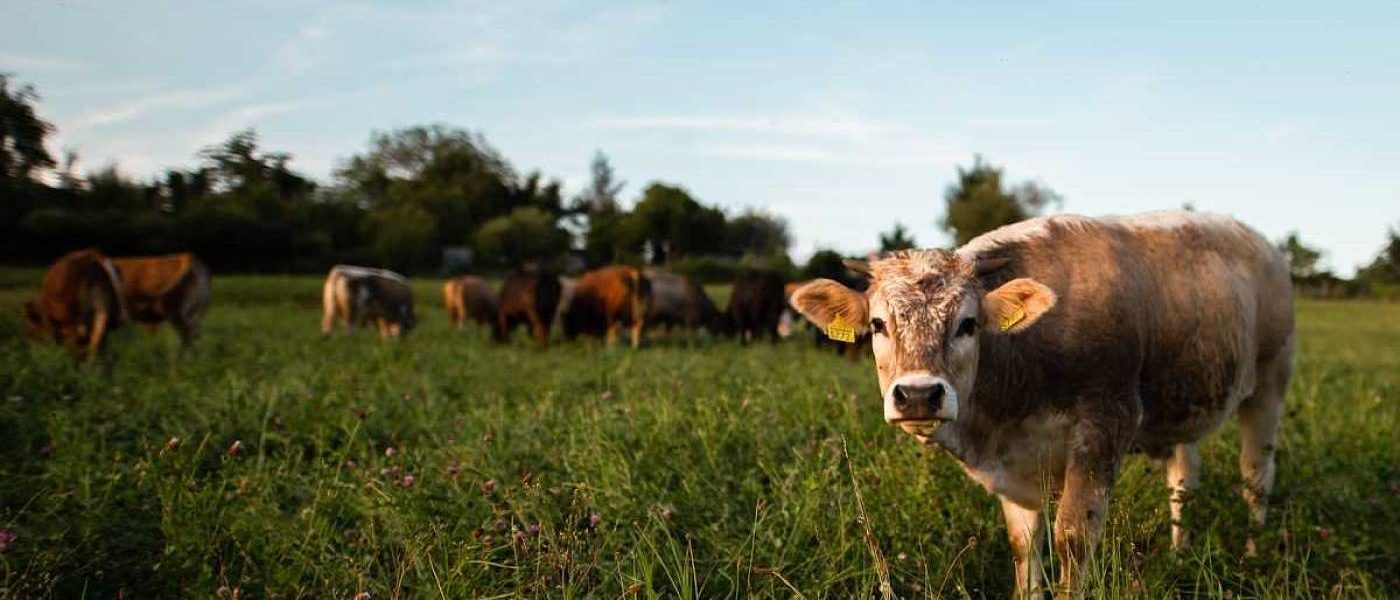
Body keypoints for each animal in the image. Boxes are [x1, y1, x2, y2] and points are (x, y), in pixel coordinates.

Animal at [789, 209, 1288, 593]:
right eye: (877, 325)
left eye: (968, 324)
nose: (917, 395)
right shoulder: (1014, 464)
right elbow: (1025, 545)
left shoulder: (1104, 424)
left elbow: (1073, 536)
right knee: (1183, 478)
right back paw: (1179, 552)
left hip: (1269, 384)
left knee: (1256, 475)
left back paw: (1253, 555)